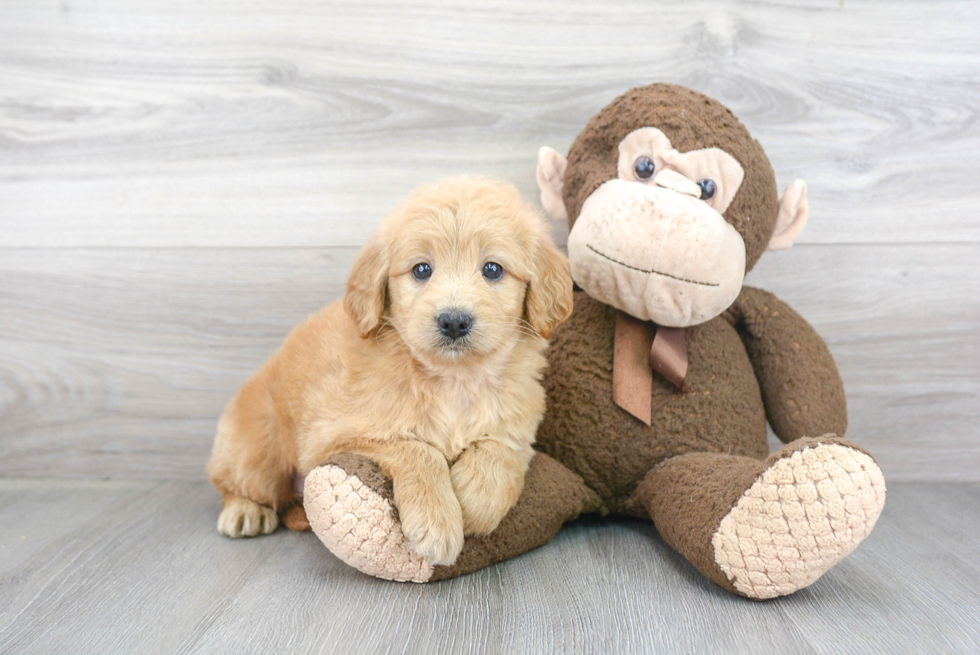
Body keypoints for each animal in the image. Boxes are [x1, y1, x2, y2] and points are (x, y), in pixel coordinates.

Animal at [209, 177, 576, 568]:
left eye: (493, 269)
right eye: (421, 270)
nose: (453, 320)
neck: (454, 380)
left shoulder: (519, 427)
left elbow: (499, 450)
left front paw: (476, 502)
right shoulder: (333, 436)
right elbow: (416, 448)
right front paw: (437, 522)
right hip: (259, 448)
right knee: (235, 484)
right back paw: (245, 511)